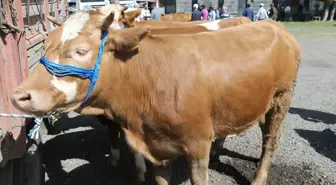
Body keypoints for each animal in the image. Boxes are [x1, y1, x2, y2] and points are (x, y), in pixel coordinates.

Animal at [17, 7, 300, 184]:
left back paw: (259, 178)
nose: (20, 95)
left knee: (271, 141)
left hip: (282, 98)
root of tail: (272, 24)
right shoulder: (157, 146)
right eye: (44, 46)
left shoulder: (197, 144)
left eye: (81, 51)